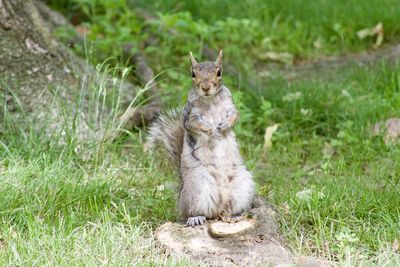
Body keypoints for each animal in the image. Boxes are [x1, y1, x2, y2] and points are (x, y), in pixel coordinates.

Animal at [145, 50, 255, 228]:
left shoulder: (230, 105)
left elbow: (234, 116)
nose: (205, 87)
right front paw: (211, 130)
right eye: (193, 73)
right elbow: (196, 124)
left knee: (229, 209)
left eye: (219, 72)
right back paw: (195, 218)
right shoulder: (190, 115)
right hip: (197, 186)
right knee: (190, 213)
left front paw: (224, 125)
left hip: (243, 185)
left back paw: (236, 215)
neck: (210, 100)